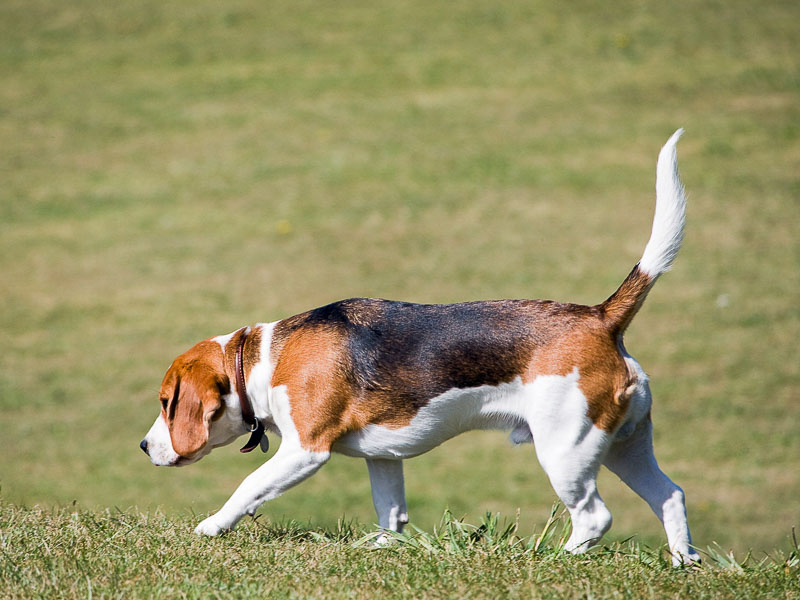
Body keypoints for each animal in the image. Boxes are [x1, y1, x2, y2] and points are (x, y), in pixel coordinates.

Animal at [141, 129, 696, 564]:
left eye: (167, 403)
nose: (145, 446)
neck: (263, 358)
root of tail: (600, 317)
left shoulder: (305, 450)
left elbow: (248, 487)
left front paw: (212, 526)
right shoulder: (383, 457)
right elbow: (392, 509)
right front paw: (384, 547)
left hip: (567, 449)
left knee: (595, 516)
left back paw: (558, 558)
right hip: (625, 443)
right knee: (669, 495)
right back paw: (682, 564)